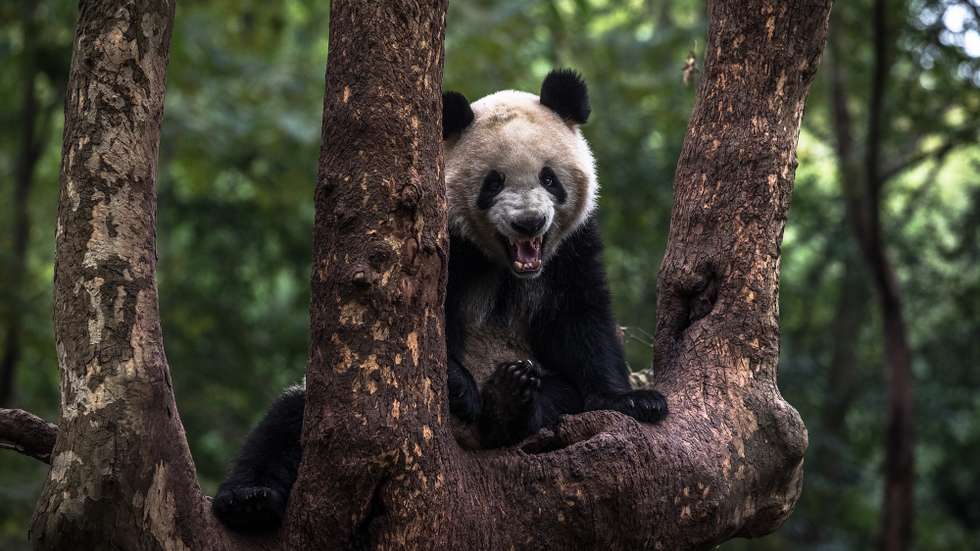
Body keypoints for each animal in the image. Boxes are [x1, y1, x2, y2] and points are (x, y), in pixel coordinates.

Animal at [212, 69, 668, 532]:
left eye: (549, 178)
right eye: (493, 183)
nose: (528, 222)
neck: (504, 265)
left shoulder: (570, 250)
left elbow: (580, 321)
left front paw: (632, 400)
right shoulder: (439, 243)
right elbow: (426, 323)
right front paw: (457, 383)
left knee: (558, 397)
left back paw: (508, 400)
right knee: (284, 424)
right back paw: (249, 500)